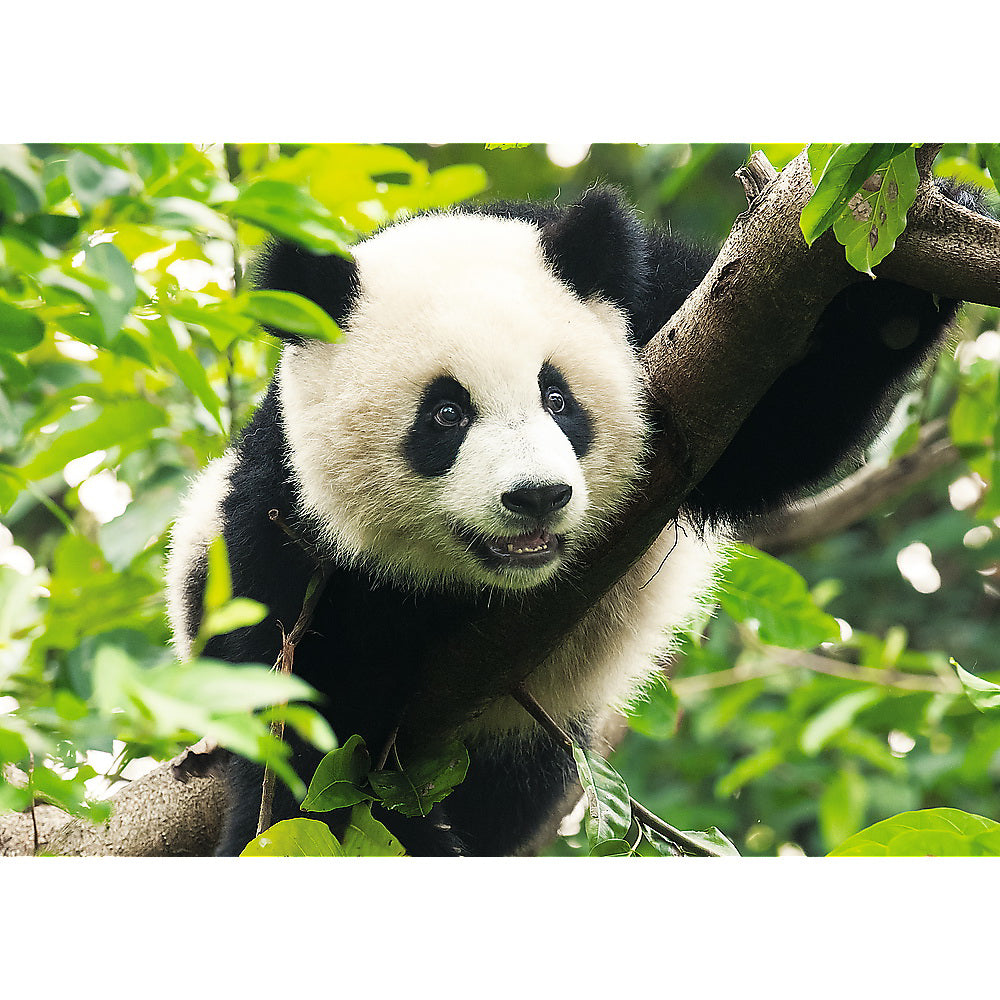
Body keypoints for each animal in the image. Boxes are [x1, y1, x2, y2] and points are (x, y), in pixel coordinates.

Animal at [166, 182, 977, 857]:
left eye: (558, 398)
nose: (536, 496)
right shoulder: (286, 527)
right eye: (446, 414)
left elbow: (781, 423)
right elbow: (308, 723)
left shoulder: (669, 315)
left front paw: (914, 248)